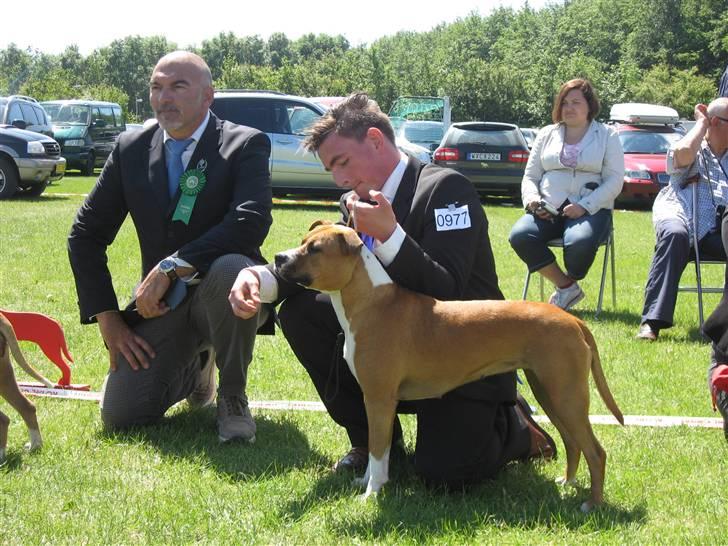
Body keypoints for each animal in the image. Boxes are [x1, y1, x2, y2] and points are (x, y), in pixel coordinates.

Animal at [274, 220, 624, 510]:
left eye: (315, 249)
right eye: (303, 241)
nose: (278, 258)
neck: (371, 302)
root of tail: (573, 320)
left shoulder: (378, 399)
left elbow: (378, 449)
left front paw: (371, 493)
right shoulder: (376, 400)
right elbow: (379, 448)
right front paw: (367, 481)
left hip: (566, 395)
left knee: (595, 451)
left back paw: (592, 504)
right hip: (550, 391)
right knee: (572, 441)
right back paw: (567, 481)